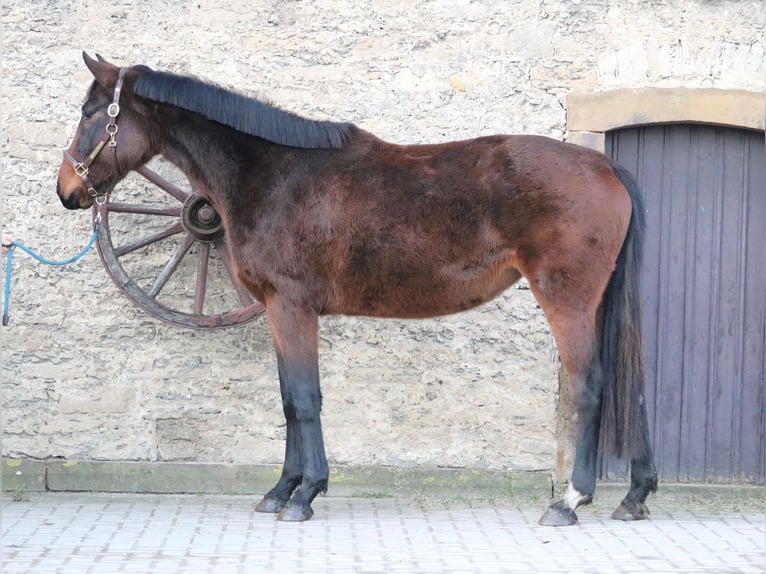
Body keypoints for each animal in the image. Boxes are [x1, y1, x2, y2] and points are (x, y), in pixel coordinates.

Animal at [58, 54, 660, 528]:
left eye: (91, 113)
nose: (67, 191)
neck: (273, 173)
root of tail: (604, 166)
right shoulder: (278, 311)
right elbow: (288, 399)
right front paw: (280, 491)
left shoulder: (291, 307)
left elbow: (304, 399)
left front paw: (304, 494)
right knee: (630, 386)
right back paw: (634, 497)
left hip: (567, 299)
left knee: (591, 386)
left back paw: (570, 500)